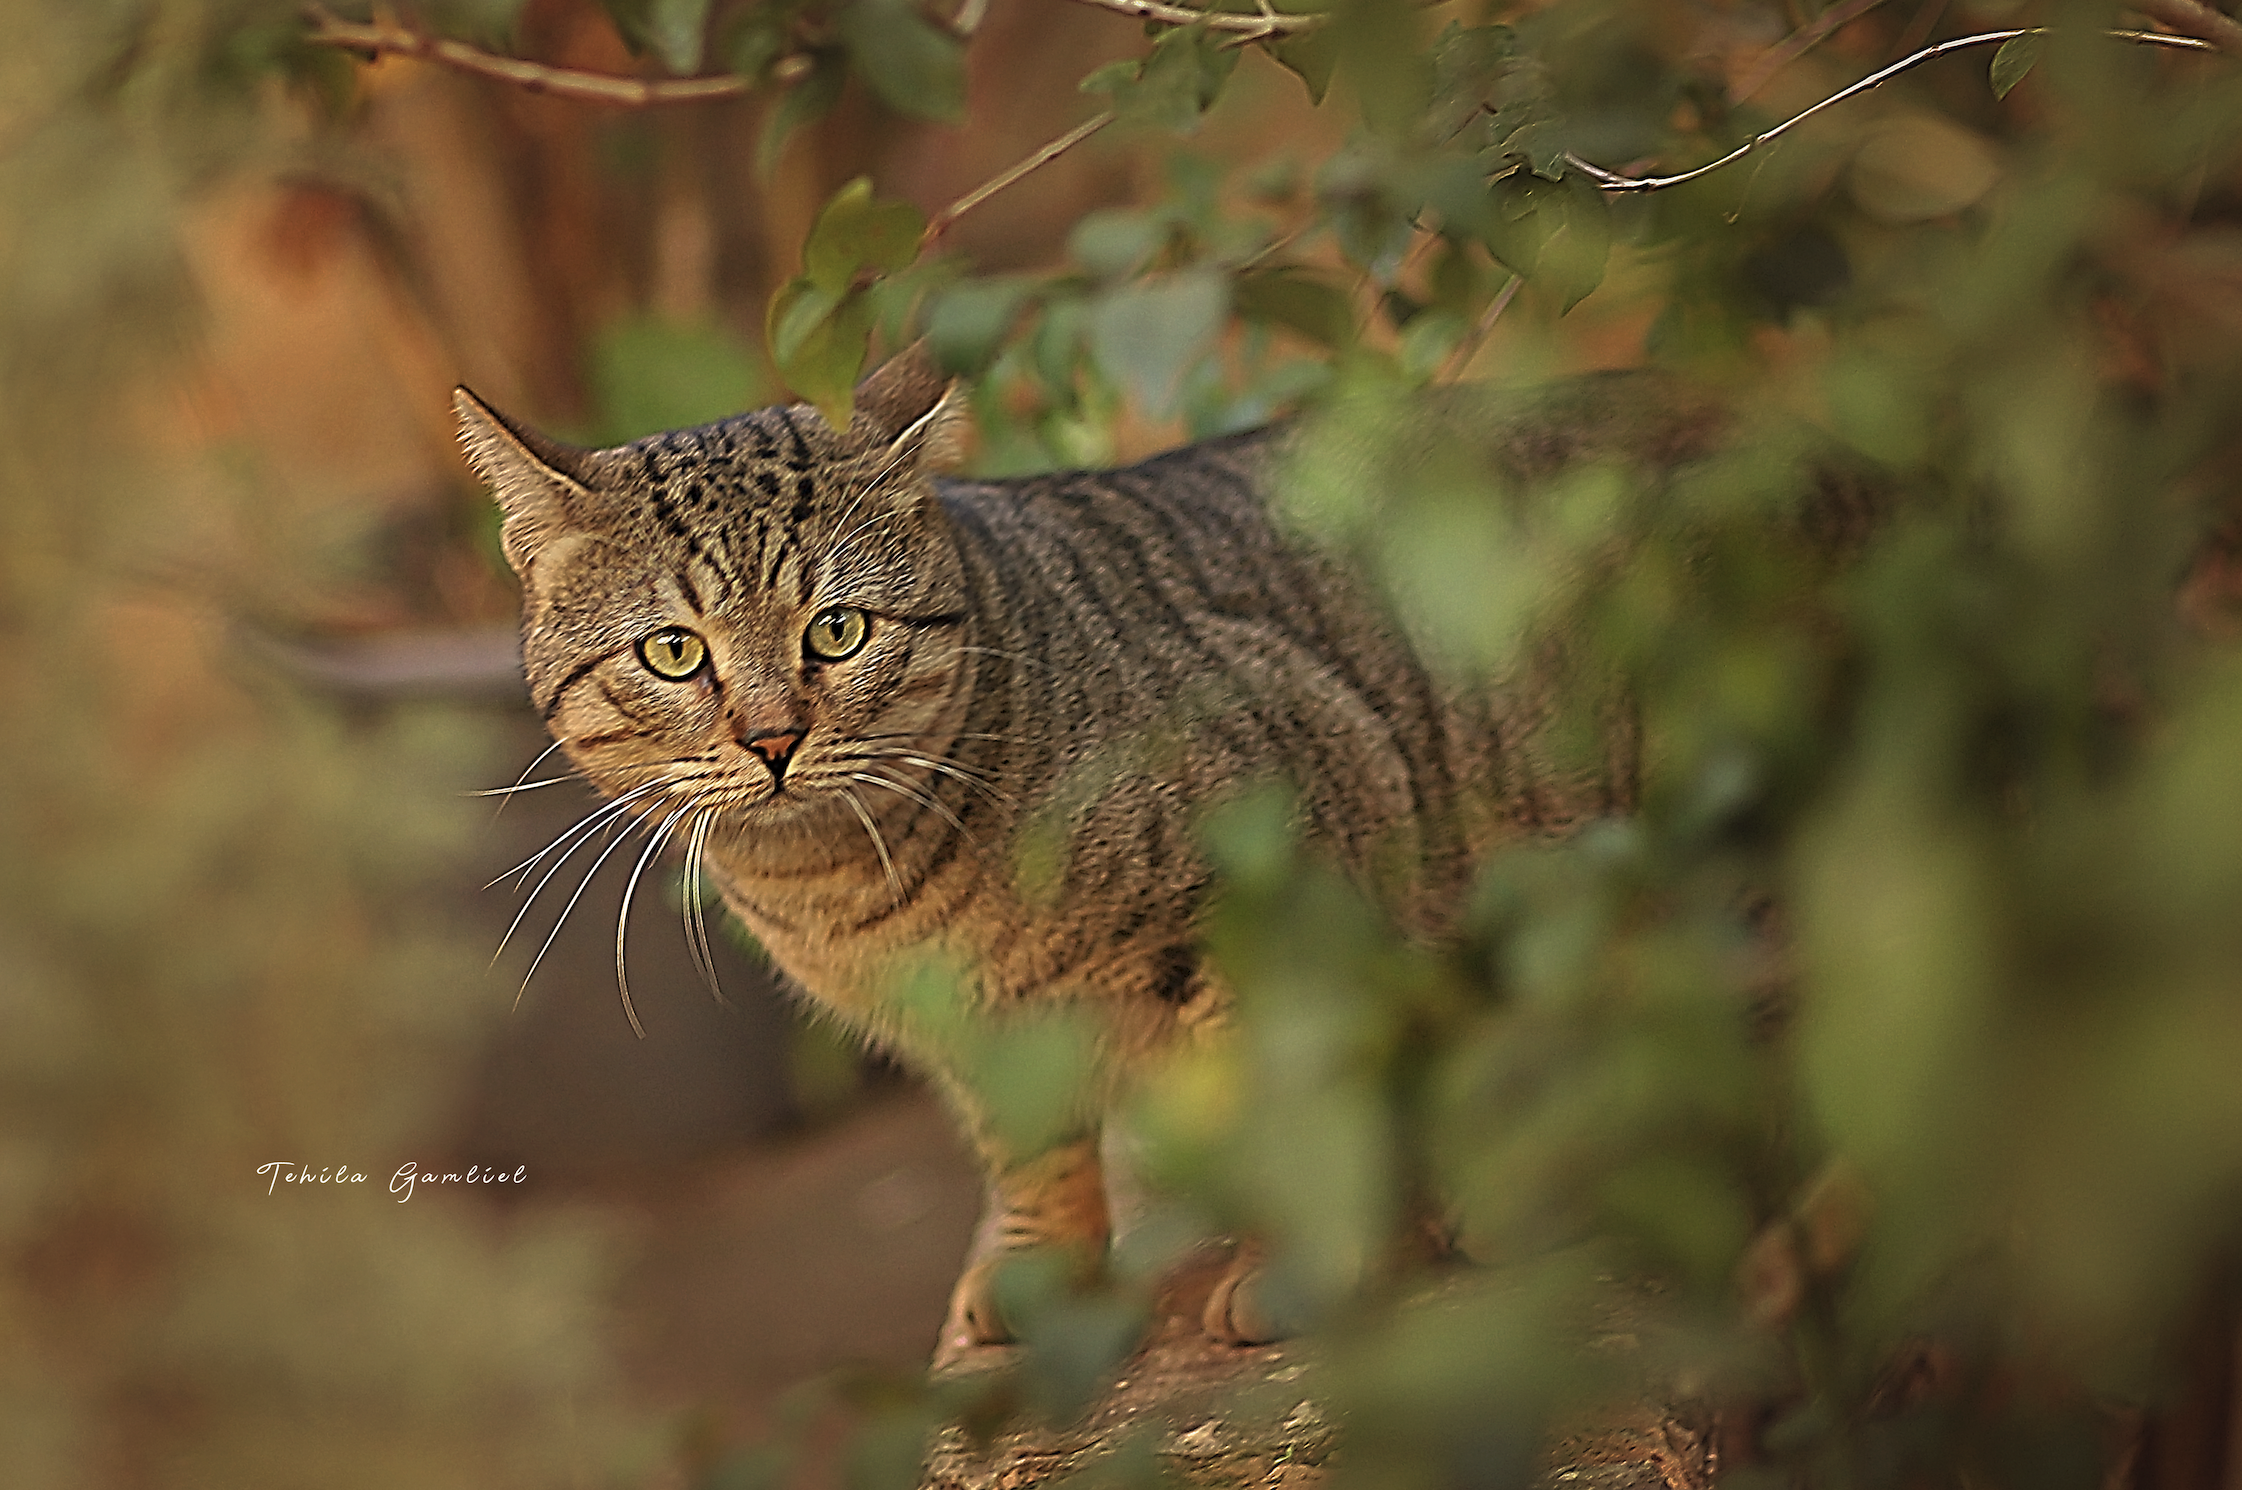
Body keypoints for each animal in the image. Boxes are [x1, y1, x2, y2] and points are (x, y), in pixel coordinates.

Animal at [446, 349, 1721, 1362]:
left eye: (837, 631)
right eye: (672, 650)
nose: (770, 737)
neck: (847, 883)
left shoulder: (1278, 886)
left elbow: (1289, 1103)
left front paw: (1308, 1262)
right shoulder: (980, 1027)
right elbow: (1029, 1147)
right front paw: (1041, 1262)